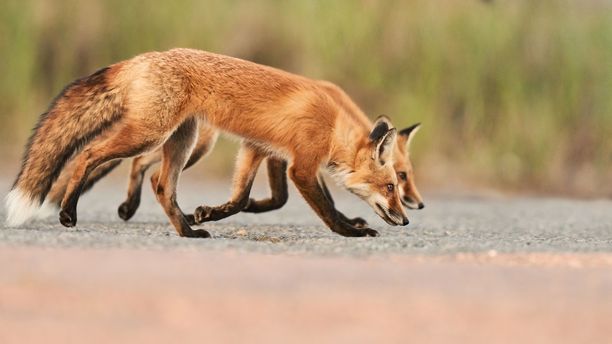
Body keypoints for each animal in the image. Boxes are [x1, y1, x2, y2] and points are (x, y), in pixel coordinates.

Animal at [5, 47, 412, 236]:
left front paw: (211, 213)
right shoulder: (300, 166)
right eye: (392, 185)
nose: (408, 219)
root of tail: (142, 58)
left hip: (180, 141)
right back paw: (69, 213)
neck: (332, 124)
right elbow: (326, 210)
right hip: (149, 135)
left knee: (161, 184)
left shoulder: (258, 149)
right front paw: (351, 231)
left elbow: (243, 198)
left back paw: (188, 231)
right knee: (87, 155)